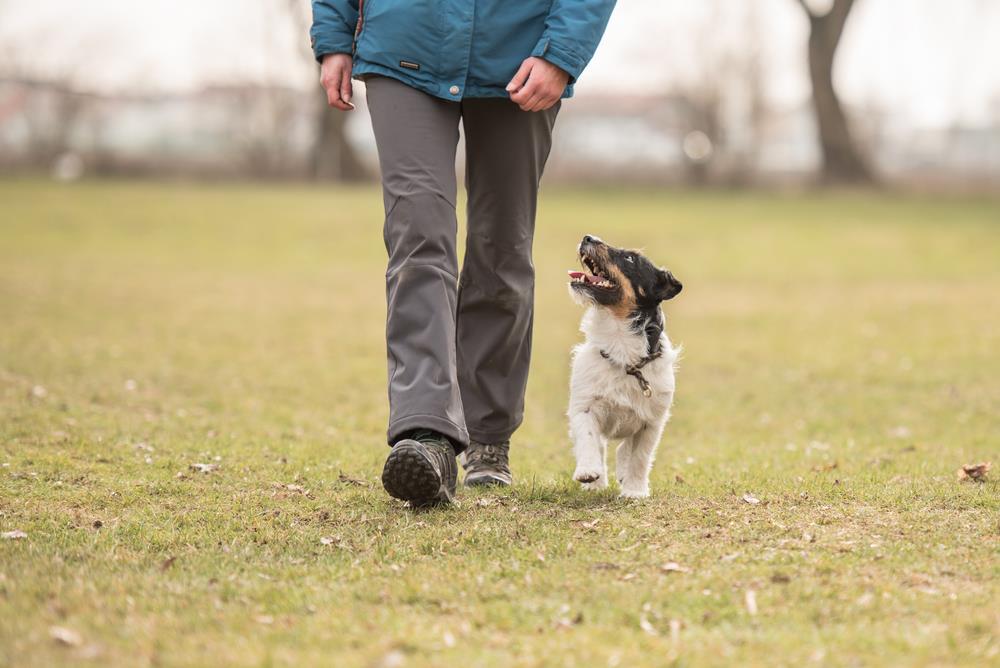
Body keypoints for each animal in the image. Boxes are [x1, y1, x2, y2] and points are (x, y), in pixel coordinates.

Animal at [568, 234, 684, 496]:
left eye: (630, 258)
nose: (588, 236)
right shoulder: (583, 406)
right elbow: (588, 438)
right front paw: (588, 473)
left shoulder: (651, 423)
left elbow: (639, 458)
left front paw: (635, 491)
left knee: (625, 450)